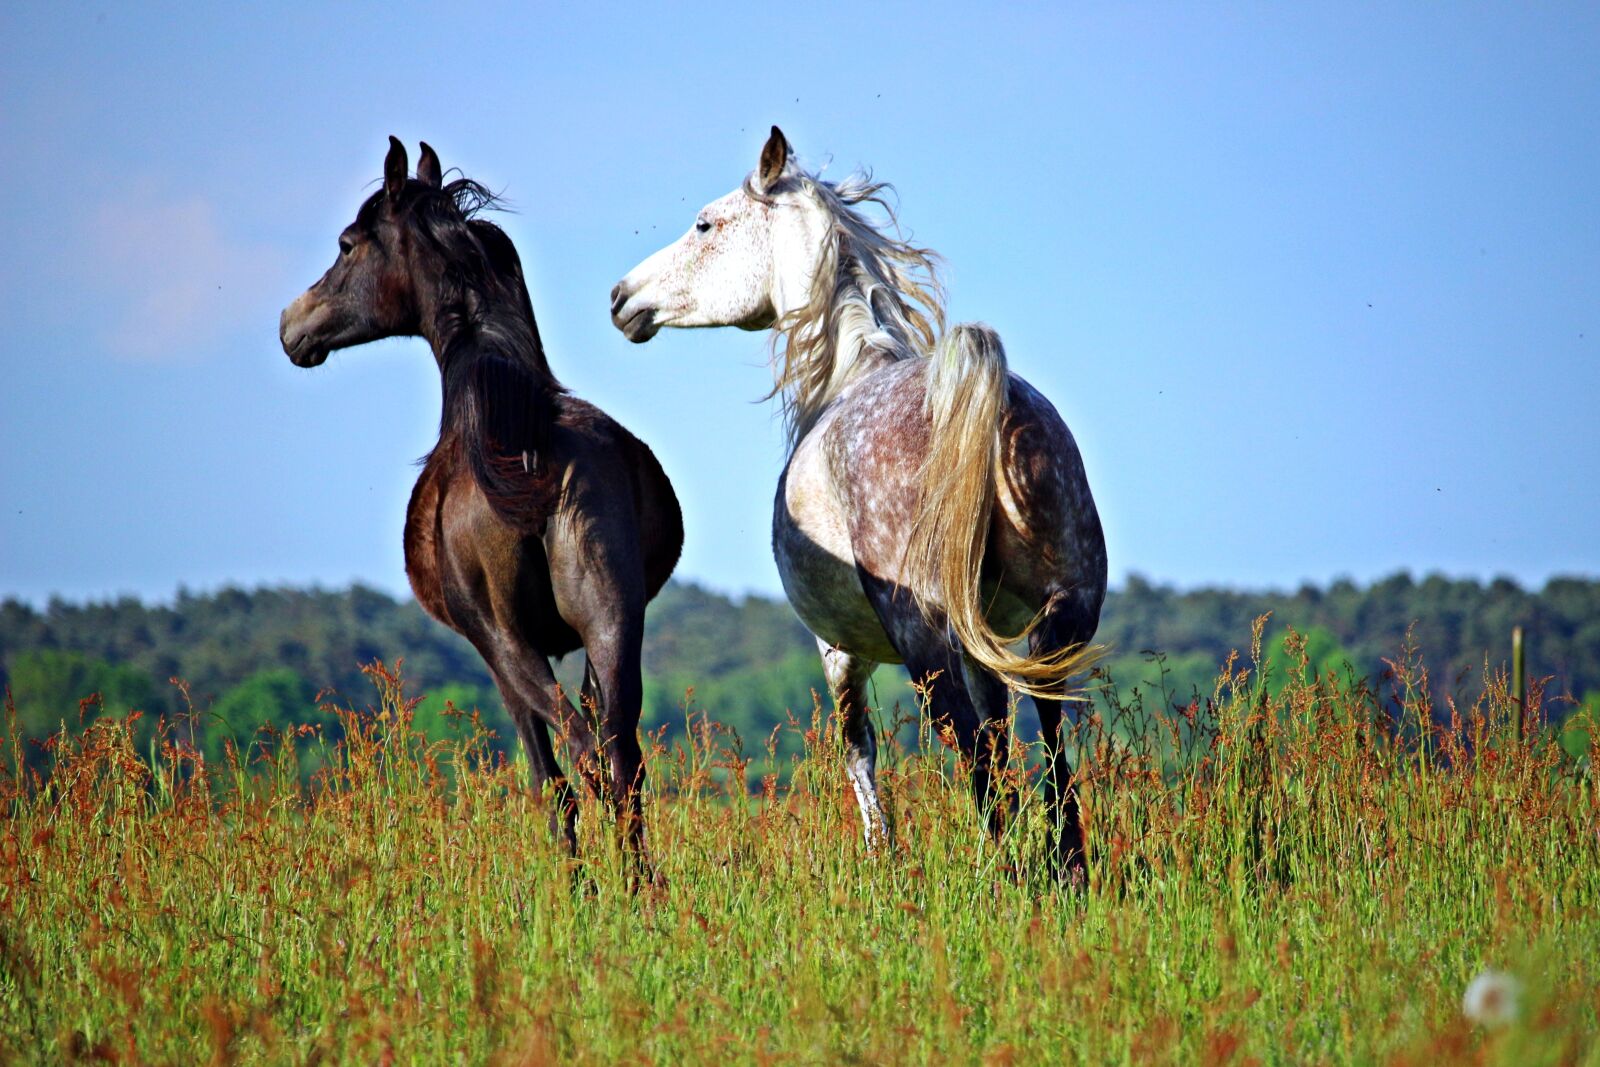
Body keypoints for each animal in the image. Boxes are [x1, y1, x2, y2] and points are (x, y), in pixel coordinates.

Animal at [280, 138, 682, 881]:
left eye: (347, 244)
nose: (293, 325)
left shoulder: (495, 656)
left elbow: (549, 779)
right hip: (613, 622)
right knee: (620, 763)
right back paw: (644, 887)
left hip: (511, 646)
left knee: (575, 767)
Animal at [610, 127, 1105, 877]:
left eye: (704, 224)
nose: (622, 297)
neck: (849, 371)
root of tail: (986, 405)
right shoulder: (986, 642)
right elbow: (1000, 734)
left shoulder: (840, 653)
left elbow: (861, 752)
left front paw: (882, 853)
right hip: (1061, 612)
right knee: (1046, 737)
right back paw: (1066, 868)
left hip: (925, 637)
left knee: (966, 743)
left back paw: (1003, 874)